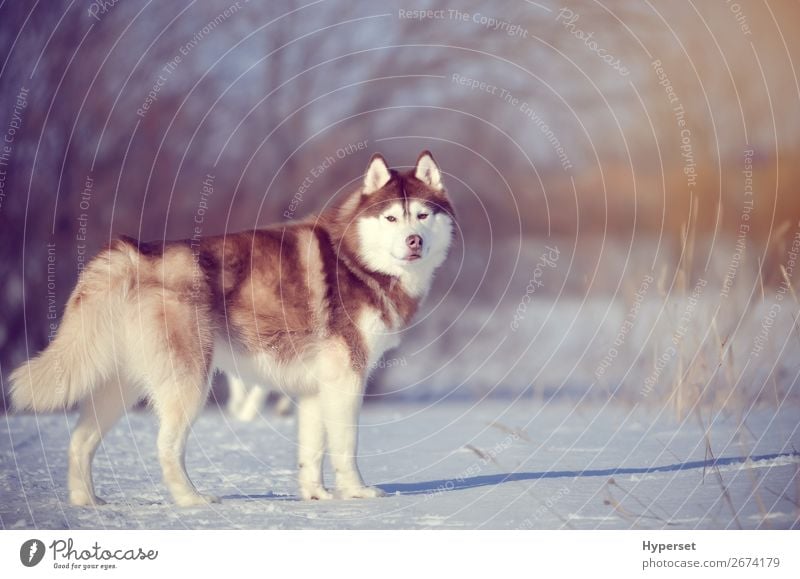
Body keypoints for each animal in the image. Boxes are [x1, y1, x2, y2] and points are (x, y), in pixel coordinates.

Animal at [9, 151, 456, 508]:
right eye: (391, 217)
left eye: (422, 214)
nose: (413, 240)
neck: (358, 261)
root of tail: (131, 253)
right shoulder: (347, 377)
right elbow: (346, 446)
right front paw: (358, 493)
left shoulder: (316, 387)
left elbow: (312, 451)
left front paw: (317, 497)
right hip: (190, 379)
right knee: (166, 446)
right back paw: (191, 499)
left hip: (122, 382)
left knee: (80, 441)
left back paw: (86, 502)